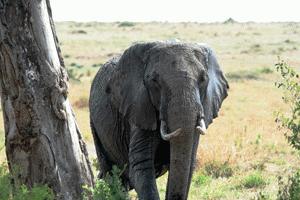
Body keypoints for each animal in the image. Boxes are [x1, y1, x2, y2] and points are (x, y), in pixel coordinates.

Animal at [88, 41, 229, 200]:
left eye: (203, 79)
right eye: (154, 81)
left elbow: (188, 165)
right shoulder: (139, 106)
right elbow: (141, 165)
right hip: (95, 124)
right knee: (110, 172)